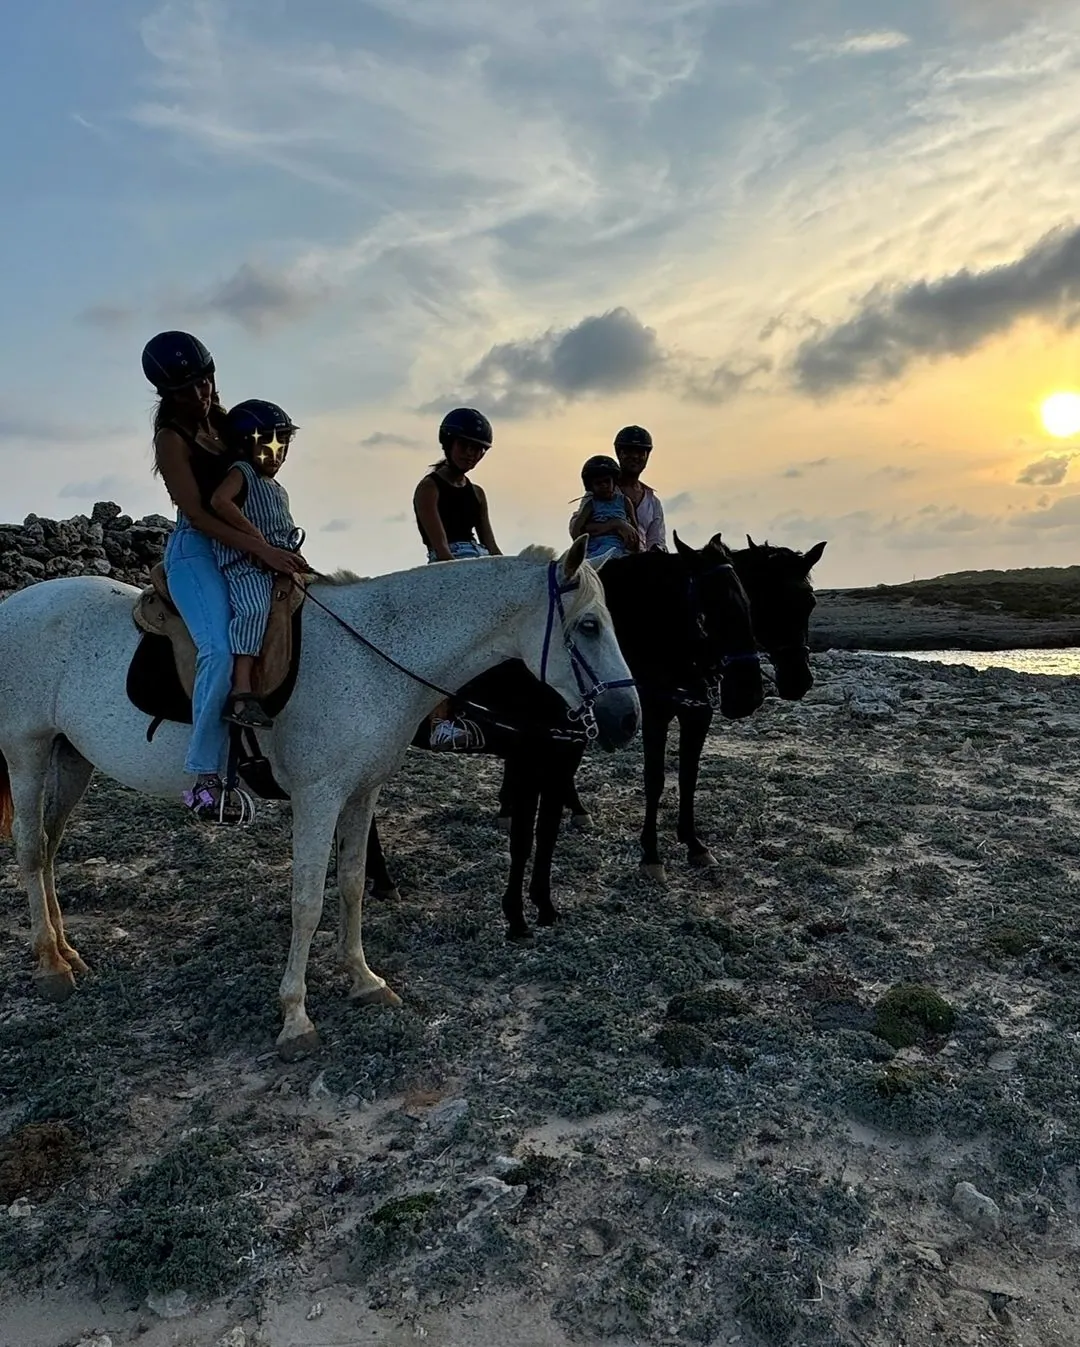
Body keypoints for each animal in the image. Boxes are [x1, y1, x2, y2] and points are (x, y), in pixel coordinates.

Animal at [0, 541, 635, 1056]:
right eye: (588, 626)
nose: (627, 719)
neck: (373, 655)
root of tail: (15, 606)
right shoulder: (318, 797)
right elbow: (306, 902)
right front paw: (296, 1018)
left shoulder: (360, 793)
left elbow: (351, 884)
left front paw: (364, 980)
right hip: (26, 752)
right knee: (30, 851)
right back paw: (50, 964)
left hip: (71, 757)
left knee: (50, 848)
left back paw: (67, 950)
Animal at [360, 533, 759, 937]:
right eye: (711, 614)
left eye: (747, 603)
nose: (749, 695)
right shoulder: (528, 757)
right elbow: (523, 836)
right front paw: (516, 918)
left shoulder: (564, 752)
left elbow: (548, 830)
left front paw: (544, 906)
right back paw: (382, 879)